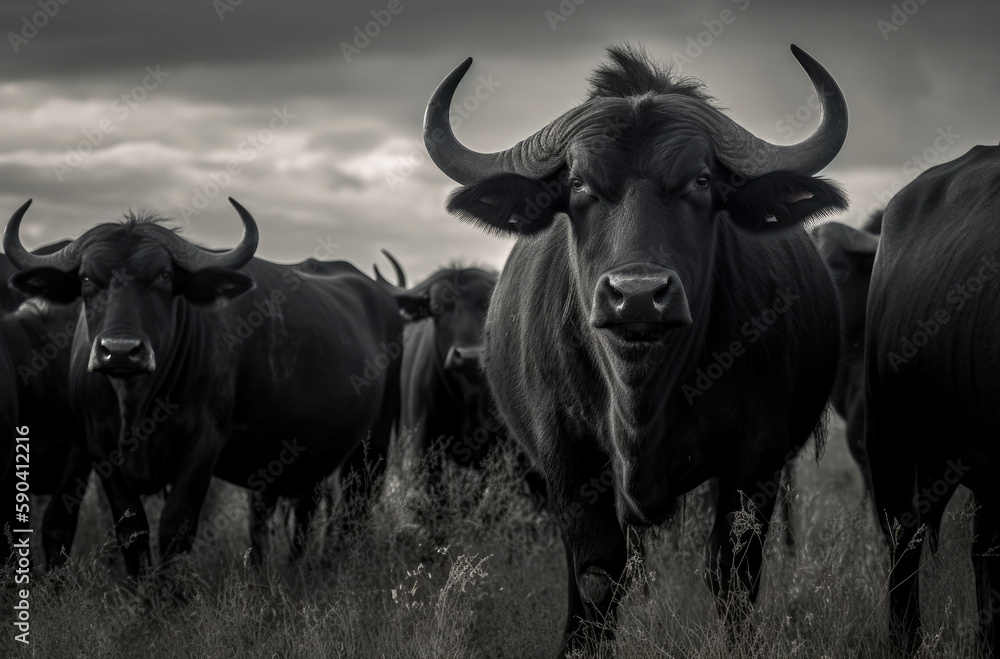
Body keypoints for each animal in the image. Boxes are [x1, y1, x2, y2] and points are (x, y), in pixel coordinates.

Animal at [423, 44, 849, 653]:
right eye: (578, 184)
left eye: (701, 179)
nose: (639, 295)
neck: (639, 388)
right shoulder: (567, 459)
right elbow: (597, 575)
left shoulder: (758, 455)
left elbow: (733, 571)